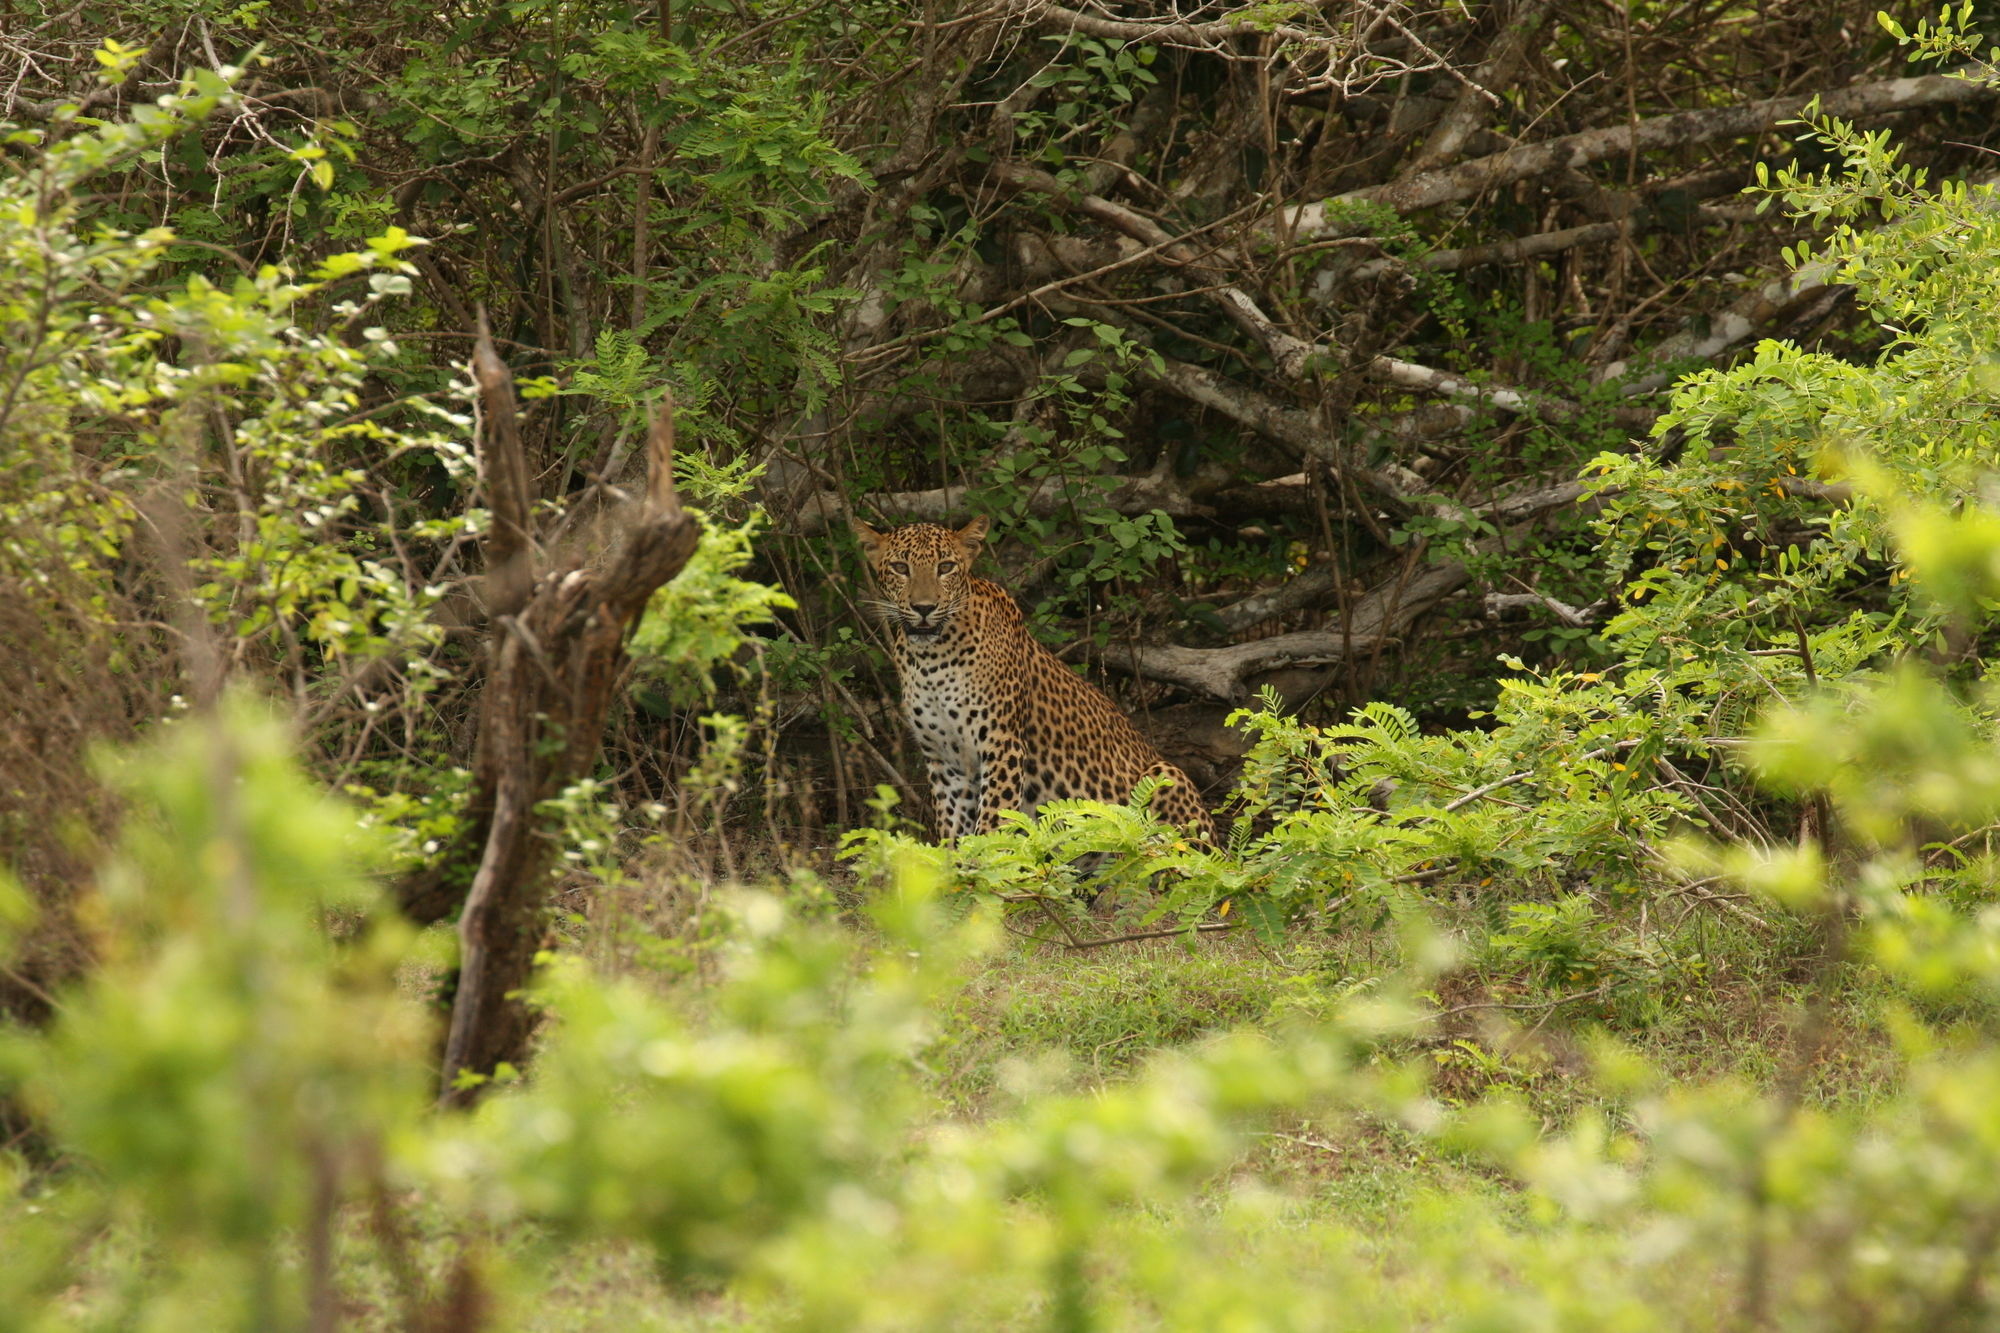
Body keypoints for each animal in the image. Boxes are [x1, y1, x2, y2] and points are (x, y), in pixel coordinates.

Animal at [848, 510, 1208, 840]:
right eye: (900, 568)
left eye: (946, 567)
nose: (924, 608)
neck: (930, 660)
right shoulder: (944, 759)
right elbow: (952, 830)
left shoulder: (1001, 744)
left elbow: (992, 823)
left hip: (1166, 775)